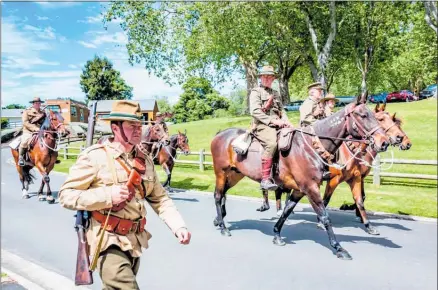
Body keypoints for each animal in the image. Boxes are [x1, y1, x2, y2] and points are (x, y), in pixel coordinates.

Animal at [210, 96, 388, 260]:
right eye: (363, 115)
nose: (384, 142)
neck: (311, 147)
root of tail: (220, 134)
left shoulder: (300, 190)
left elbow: (287, 211)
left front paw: (277, 234)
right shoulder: (311, 188)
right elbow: (325, 216)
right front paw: (338, 248)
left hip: (234, 175)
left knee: (223, 193)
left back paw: (219, 219)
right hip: (221, 173)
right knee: (218, 196)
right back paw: (223, 227)